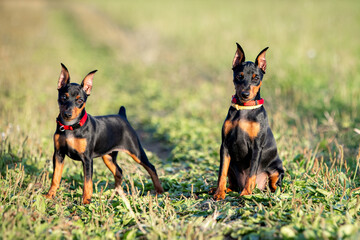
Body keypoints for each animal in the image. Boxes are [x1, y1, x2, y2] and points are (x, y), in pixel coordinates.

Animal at [45, 62, 165, 203]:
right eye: (63, 97)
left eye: (80, 101)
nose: (67, 114)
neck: (71, 127)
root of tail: (122, 116)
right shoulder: (58, 154)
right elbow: (55, 177)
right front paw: (50, 195)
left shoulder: (87, 159)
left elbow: (87, 182)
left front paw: (86, 201)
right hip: (108, 156)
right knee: (119, 171)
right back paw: (117, 193)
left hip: (136, 152)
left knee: (151, 167)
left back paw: (159, 191)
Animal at [214, 43, 284, 201]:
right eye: (239, 76)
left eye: (256, 77)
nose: (245, 94)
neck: (244, 108)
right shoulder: (225, 146)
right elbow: (221, 173)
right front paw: (219, 193)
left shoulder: (257, 147)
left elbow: (251, 173)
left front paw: (246, 193)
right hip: (232, 164)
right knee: (232, 183)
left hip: (277, 170)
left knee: (274, 185)